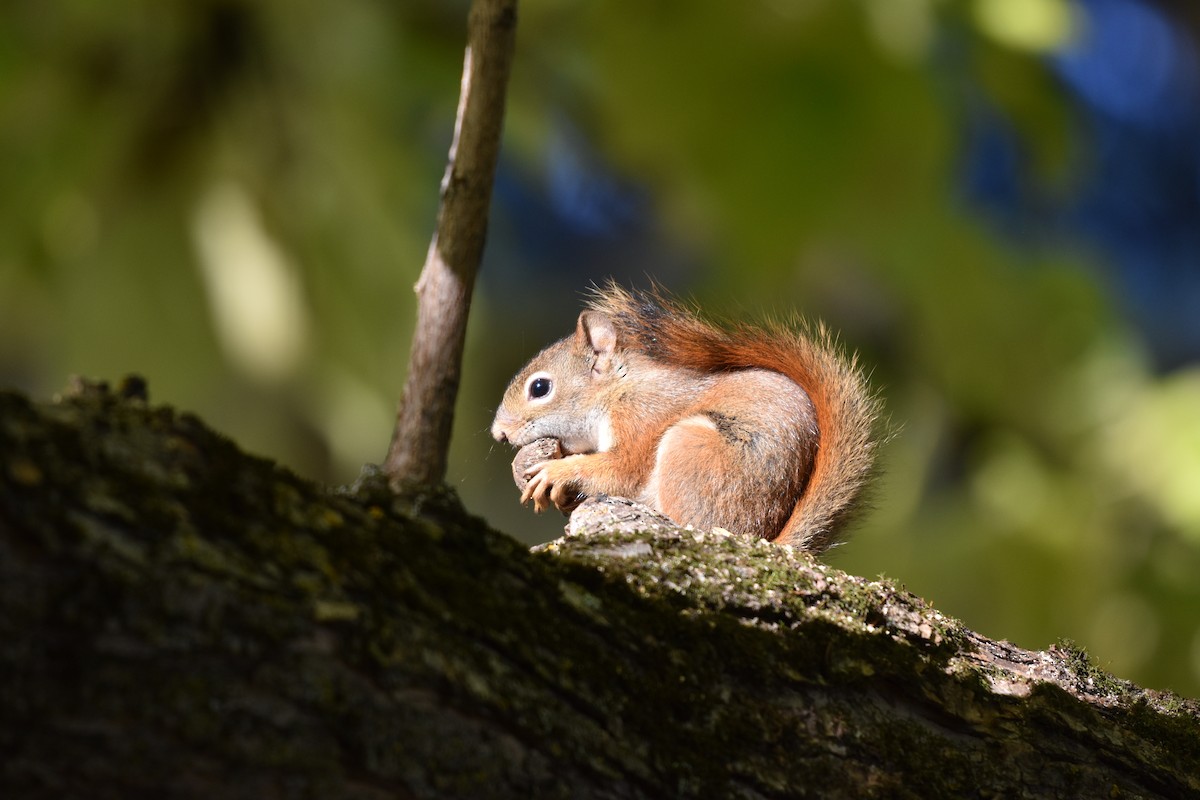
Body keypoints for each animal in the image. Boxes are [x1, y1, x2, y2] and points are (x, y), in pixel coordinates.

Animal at [491, 283, 880, 552]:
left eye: (540, 387)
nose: (499, 434)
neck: (617, 390)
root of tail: (760, 535)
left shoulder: (641, 418)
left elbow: (621, 470)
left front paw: (556, 472)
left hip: (692, 448)